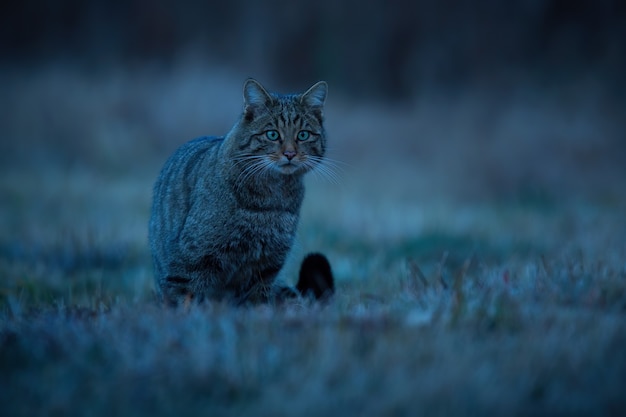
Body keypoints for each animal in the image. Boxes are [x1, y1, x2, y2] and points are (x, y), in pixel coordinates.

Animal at [147, 79, 332, 306]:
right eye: (272, 134)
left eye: (303, 135)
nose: (290, 154)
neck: (272, 195)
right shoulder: (190, 261)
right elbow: (183, 300)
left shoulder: (267, 265)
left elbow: (258, 302)